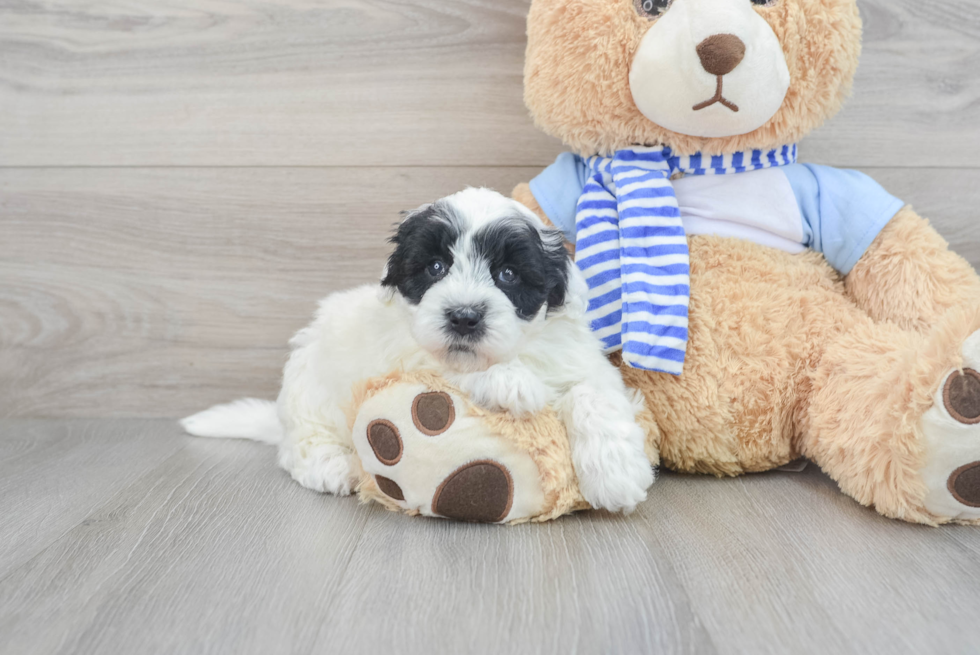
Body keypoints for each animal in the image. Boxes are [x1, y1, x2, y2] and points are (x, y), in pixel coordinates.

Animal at [184, 187, 660, 516]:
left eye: (508, 274)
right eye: (435, 267)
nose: (464, 317)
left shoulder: (580, 360)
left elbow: (594, 395)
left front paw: (617, 474)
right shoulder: (408, 356)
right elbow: (452, 367)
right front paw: (511, 382)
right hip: (310, 390)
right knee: (298, 445)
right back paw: (330, 465)